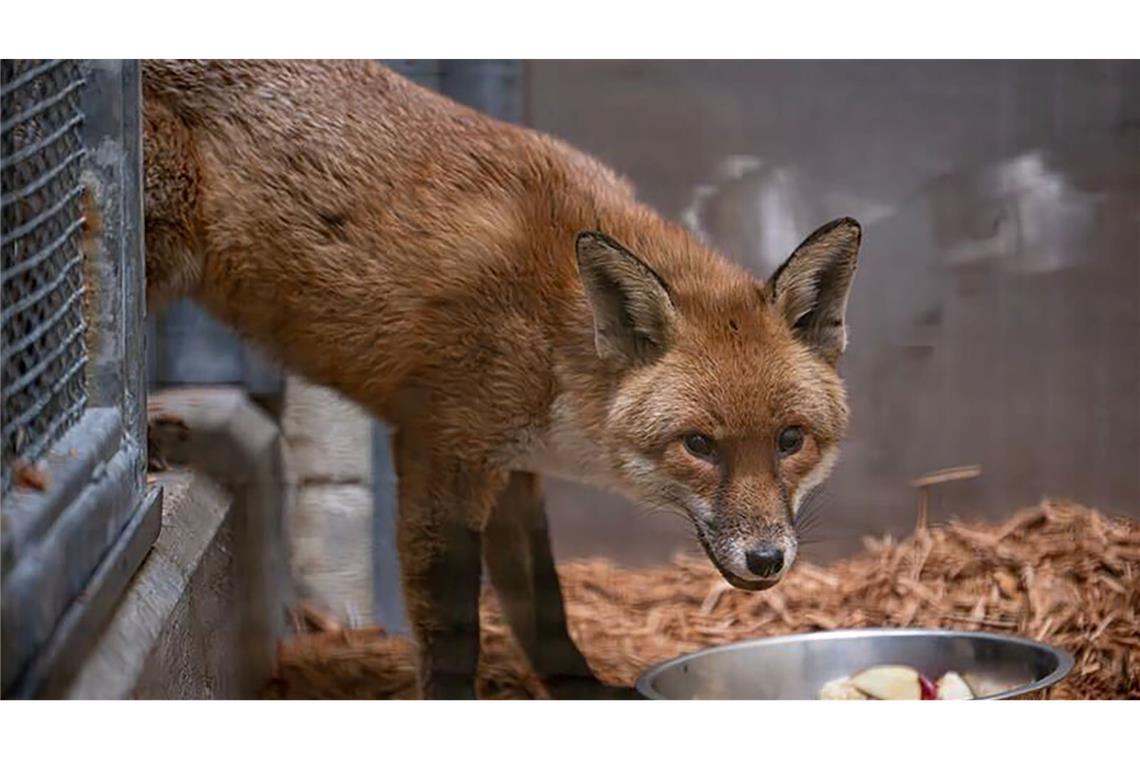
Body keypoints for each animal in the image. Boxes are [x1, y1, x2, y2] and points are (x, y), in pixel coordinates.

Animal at [140, 59, 861, 699]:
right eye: (699, 446)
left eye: (791, 441)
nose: (767, 559)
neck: (552, 336)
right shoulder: (441, 451)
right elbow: (454, 630)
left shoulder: (516, 469)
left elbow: (542, 606)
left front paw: (583, 692)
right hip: (163, 242)